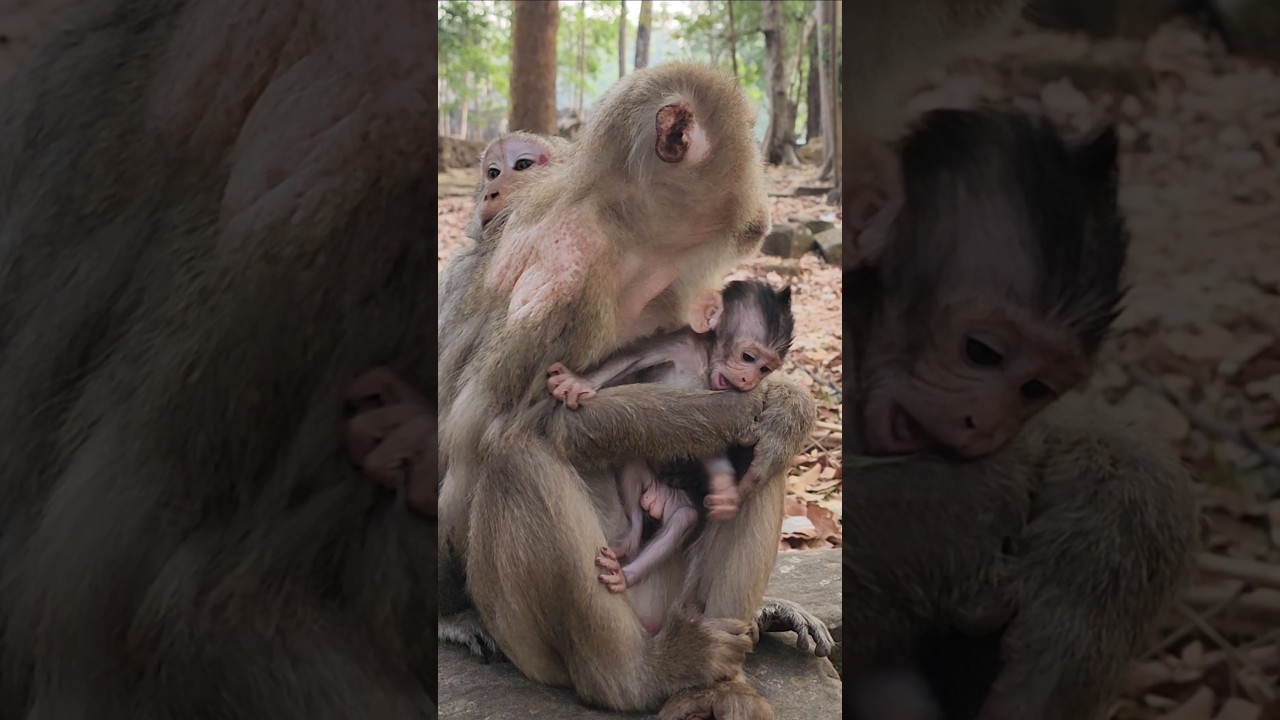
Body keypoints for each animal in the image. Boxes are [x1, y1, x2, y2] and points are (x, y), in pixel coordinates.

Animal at [541, 280, 794, 621]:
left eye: (765, 368)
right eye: (748, 357)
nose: (749, 379)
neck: (703, 360)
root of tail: (659, 497)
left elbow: (708, 440)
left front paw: (725, 490)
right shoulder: (678, 343)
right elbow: (633, 357)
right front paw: (577, 381)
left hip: (678, 504)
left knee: (683, 520)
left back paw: (626, 574)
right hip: (645, 479)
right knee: (633, 468)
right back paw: (631, 537)